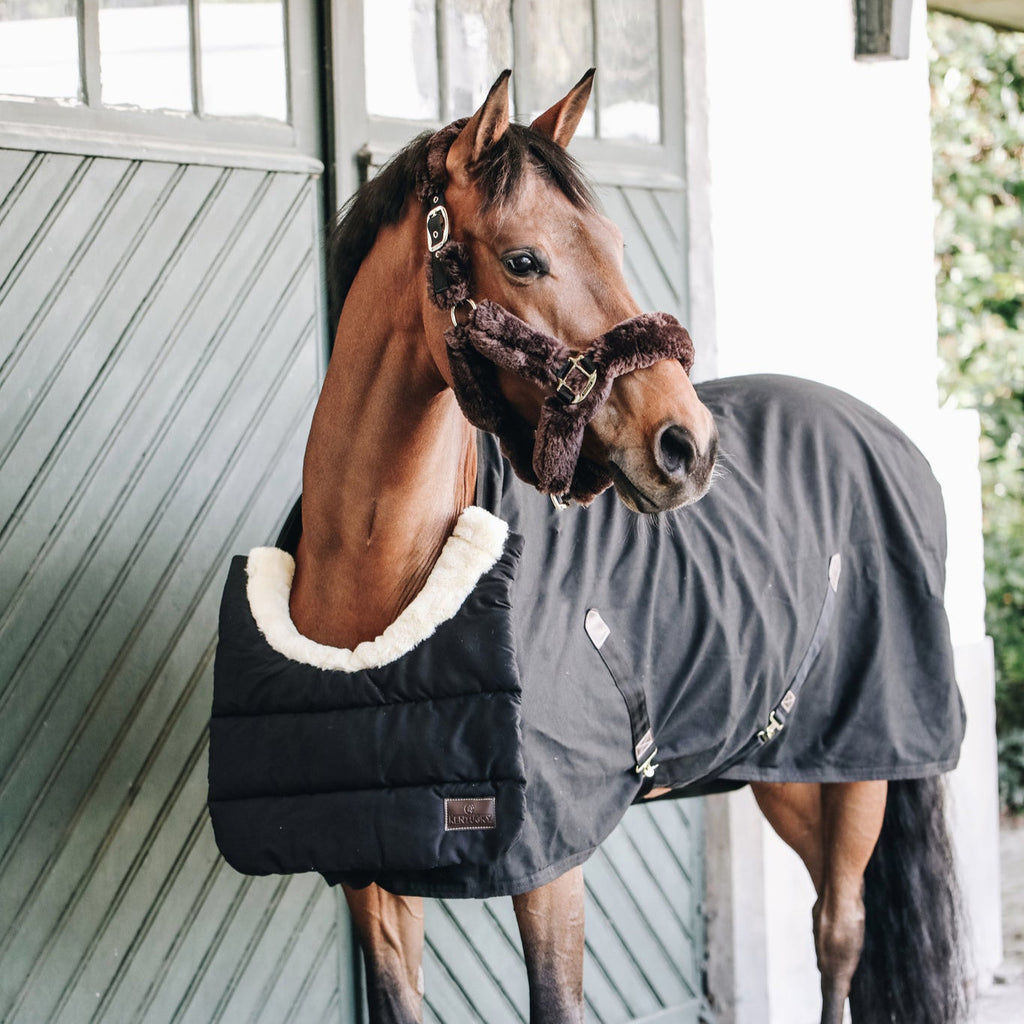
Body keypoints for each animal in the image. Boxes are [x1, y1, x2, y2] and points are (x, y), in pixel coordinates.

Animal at [207, 70, 969, 1024]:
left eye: (612, 241)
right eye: (524, 259)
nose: (688, 447)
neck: (380, 588)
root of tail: (889, 435)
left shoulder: (552, 868)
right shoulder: (370, 874)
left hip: (860, 770)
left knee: (841, 931)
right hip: (785, 767)